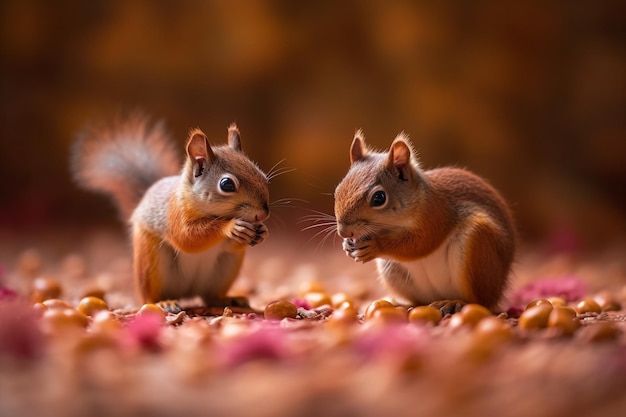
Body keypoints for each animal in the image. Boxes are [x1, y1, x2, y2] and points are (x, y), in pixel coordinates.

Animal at [72, 114, 268, 308]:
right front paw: (230, 227)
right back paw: (163, 303)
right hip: (150, 262)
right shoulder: (175, 214)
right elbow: (187, 237)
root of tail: (188, 293)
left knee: (209, 297)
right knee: (148, 297)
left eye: (262, 175)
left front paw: (262, 232)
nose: (263, 214)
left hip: (226, 267)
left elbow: (228, 245)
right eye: (226, 184)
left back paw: (227, 299)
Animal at [334, 130, 516, 312]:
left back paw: (455, 302)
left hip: (478, 246)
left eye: (379, 198)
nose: (343, 232)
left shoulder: (435, 214)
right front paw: (347, 246)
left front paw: (376, 246)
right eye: (337, 190)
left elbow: (421, 243)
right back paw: (399, 303)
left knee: (480, 301)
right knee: (419, 302)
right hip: (392, 271)